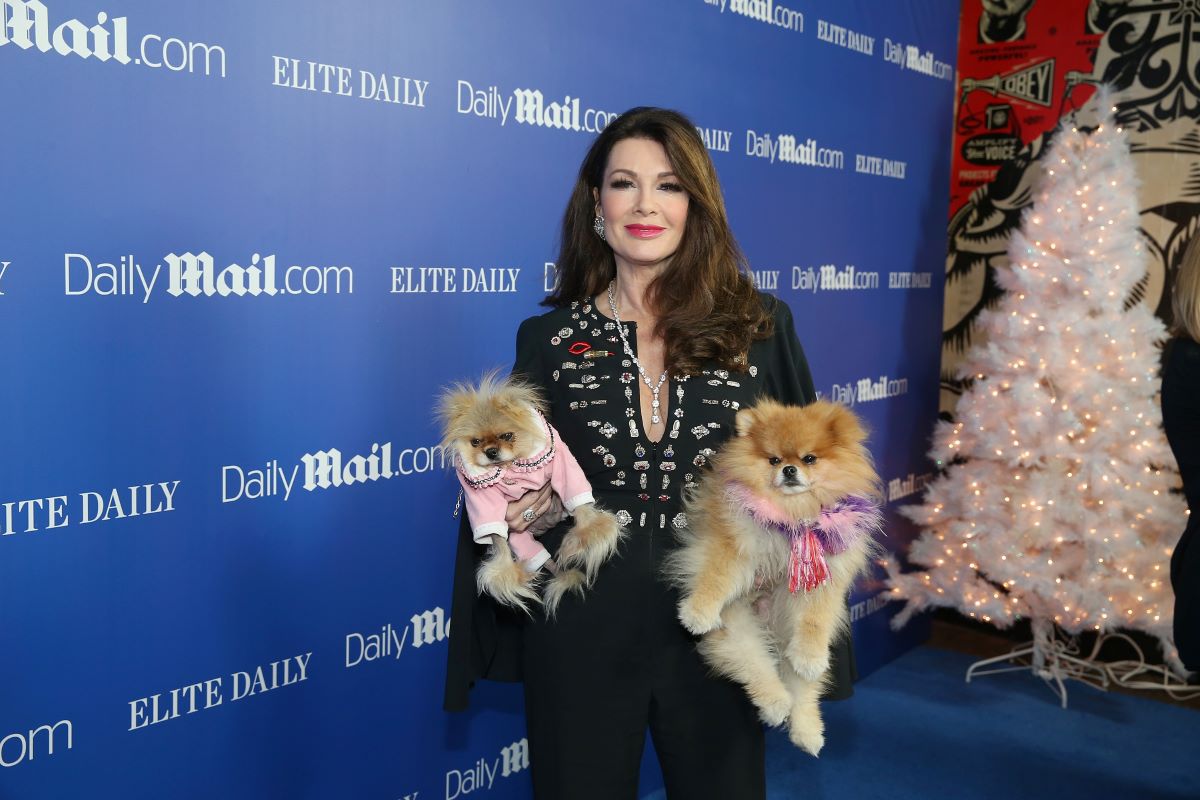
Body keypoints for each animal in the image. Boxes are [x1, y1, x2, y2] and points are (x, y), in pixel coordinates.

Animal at [441, 371, 628, 618]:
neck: (510, 467)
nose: (490, 452)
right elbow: (497, 539)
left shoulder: (563, 466)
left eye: (507, 436)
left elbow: (579, 503)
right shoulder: (484, 504)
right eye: (475, 442)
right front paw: (505, 575)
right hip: (519, 538)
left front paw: (591, 533)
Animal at [667, 400, 883, 758]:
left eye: (809, 459)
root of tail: (769, 626)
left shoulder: (825, 576)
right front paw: (698, 611)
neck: (793, 512)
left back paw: (807, 729)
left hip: (789, 634)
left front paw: (810, 657)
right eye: (774, 460)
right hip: (737, 630)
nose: (789, 470)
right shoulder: (734, 545)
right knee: (758, 668)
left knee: (803, 687)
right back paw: (775, 704)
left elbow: (815, 619)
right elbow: (717, 576)